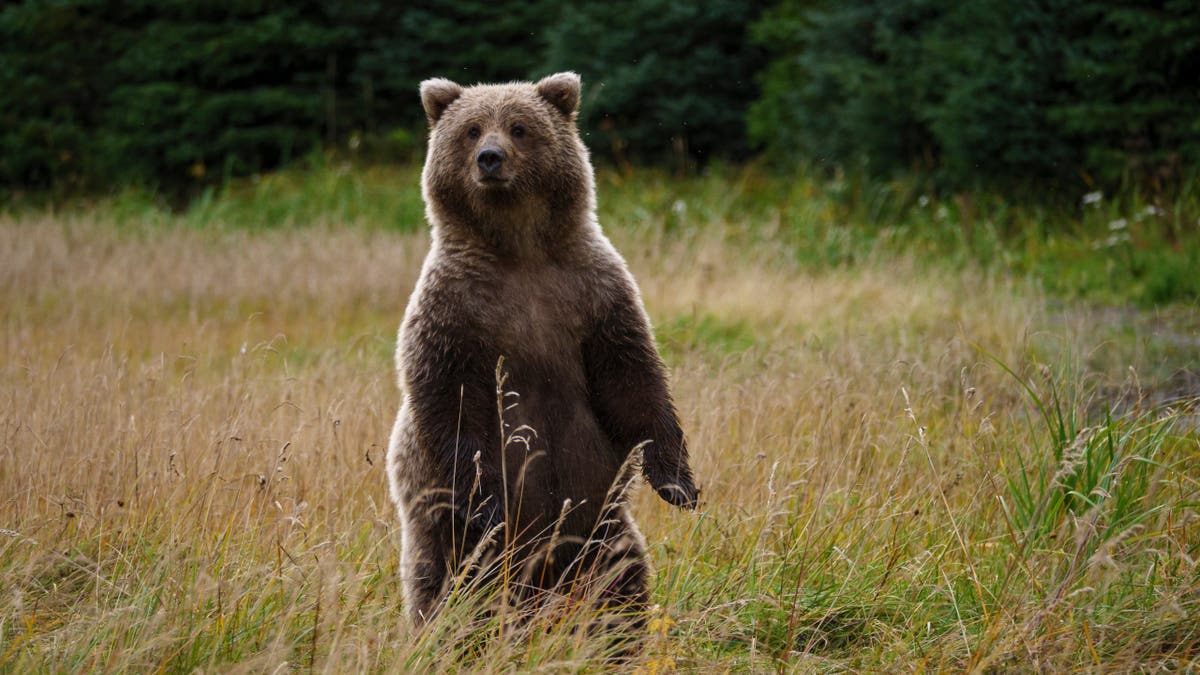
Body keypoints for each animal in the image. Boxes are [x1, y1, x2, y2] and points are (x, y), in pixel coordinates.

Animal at [385, 71, 698, 629]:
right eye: (471, 129)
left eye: (519, 126)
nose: (490, 158)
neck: (520, 250)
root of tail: (541, 579)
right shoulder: (455, 309)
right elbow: (452, 397)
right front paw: (488, 503)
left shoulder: (592, 294)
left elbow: (633, 379)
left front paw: (678, 483)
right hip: (446, 534)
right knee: (447, 587)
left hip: (599, 527)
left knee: (622, 582)